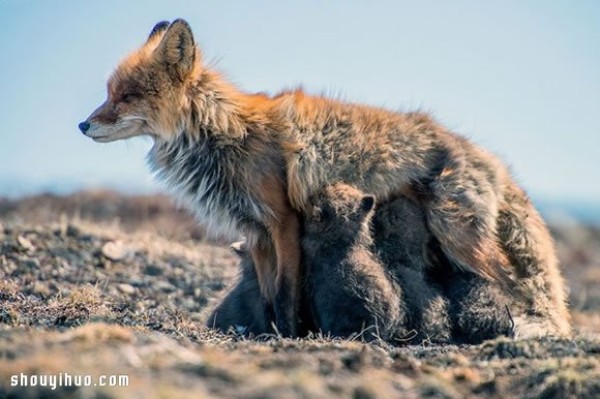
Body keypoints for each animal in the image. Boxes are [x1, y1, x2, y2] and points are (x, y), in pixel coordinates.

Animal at [79, 18, 572, 338]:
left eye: (127, 96)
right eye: (108, 93)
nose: (82, 126)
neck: (225, 135)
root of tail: (493, 159)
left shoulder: (283, 222)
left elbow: (286, 294)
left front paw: (290, 335)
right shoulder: (256, 231)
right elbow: (268, 295)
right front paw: (268, 332)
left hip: (457, 235)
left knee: (509, 282)